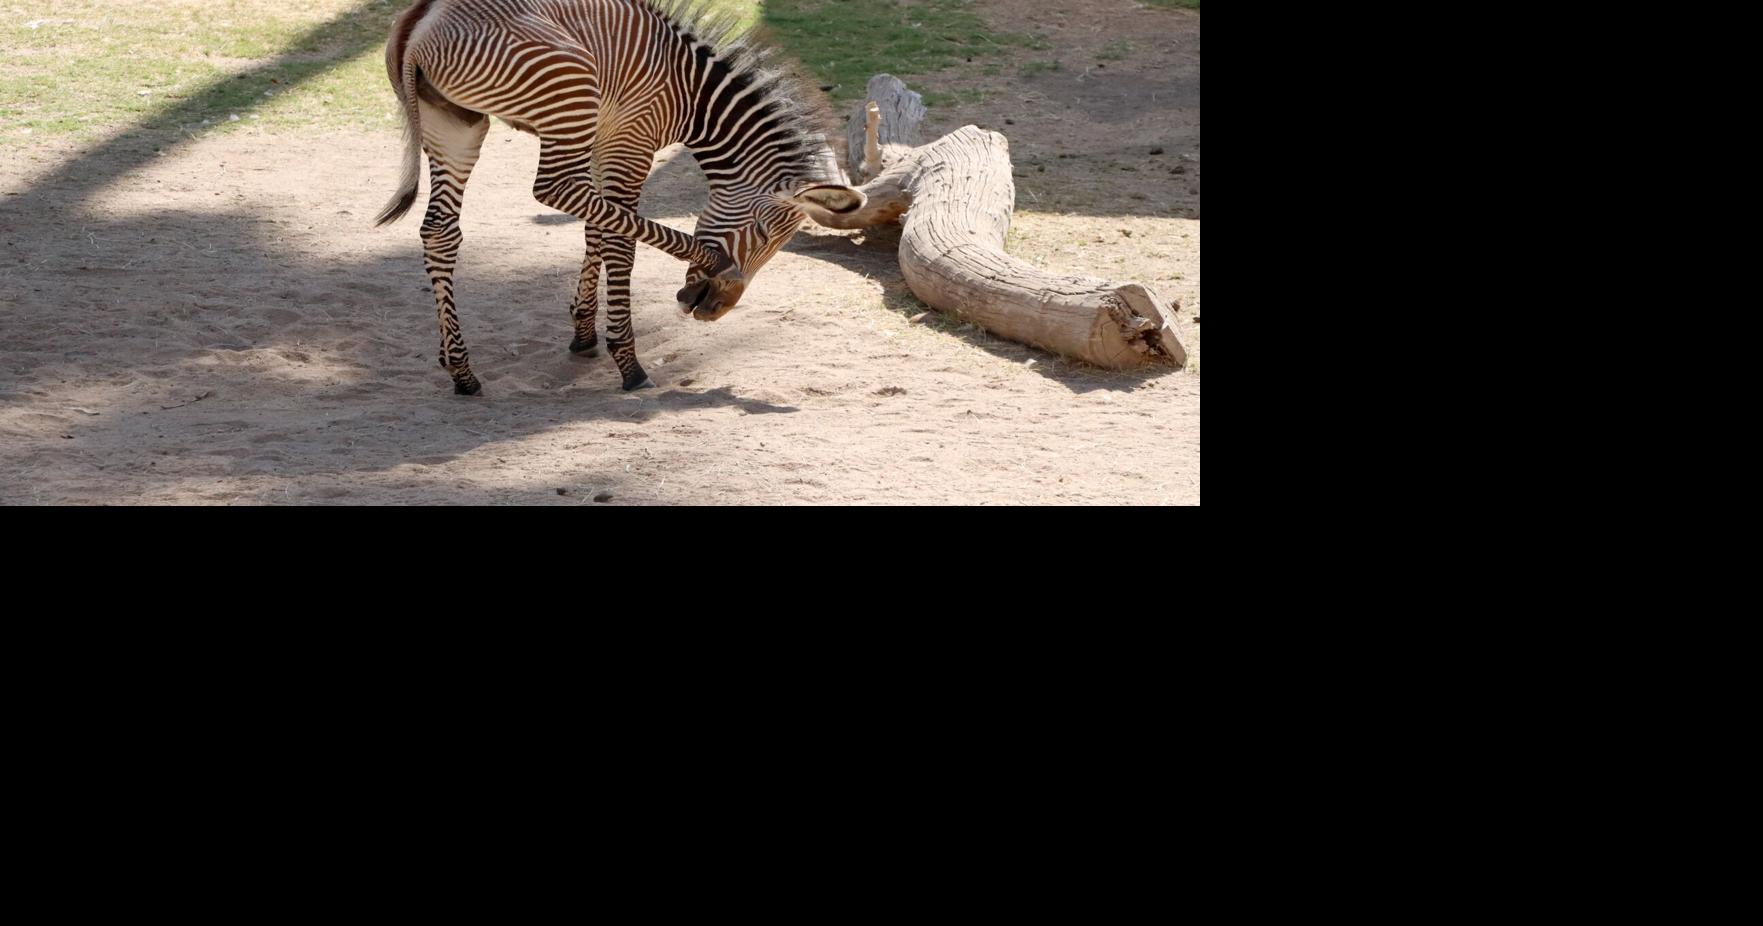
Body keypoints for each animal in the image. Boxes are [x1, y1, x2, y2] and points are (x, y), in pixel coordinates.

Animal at [375, 0, 866, 394]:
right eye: (764, 233)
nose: (715, 312)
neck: (693, 97)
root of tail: (423, 20)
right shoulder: (631, 143)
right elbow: (618, 242)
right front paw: (626, 360)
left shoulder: (604, 140)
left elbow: (597, 228)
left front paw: (583, 332)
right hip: (567, 103)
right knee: (551, 189)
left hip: (457, 123)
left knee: (440, 231)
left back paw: (460, 368)